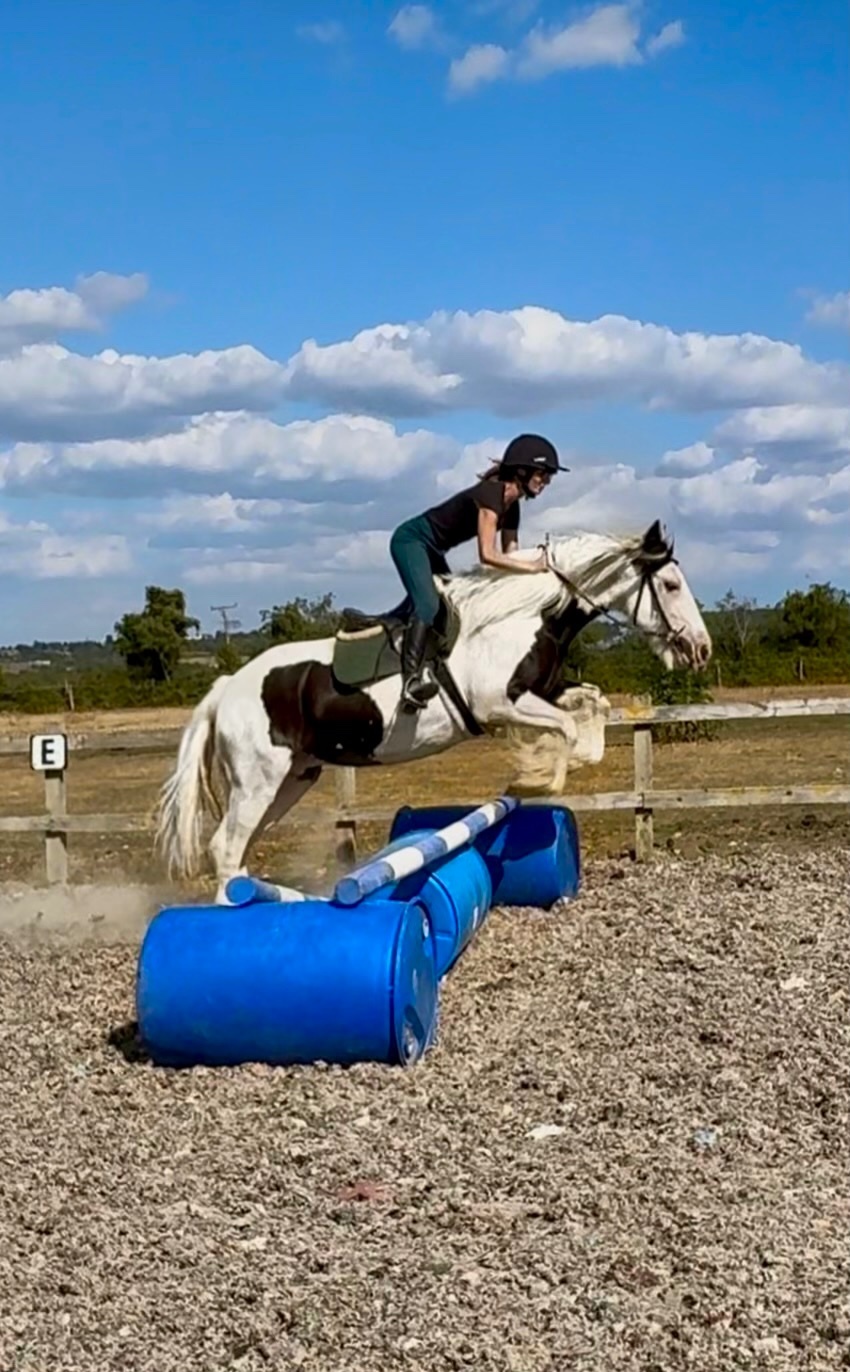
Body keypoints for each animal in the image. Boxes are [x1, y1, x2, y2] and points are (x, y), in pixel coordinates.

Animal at [155, 520, 711, 900]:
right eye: (671, 586)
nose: (701, 649)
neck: (527, 615)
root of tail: (227, 686)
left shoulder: (543, 691)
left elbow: (592, 705)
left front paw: (563, 765)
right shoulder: (500, 705)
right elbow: (564, 729)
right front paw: (537, 779)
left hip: (293, 778)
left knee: (236, 848)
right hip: (258, 780)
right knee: (225, 847)